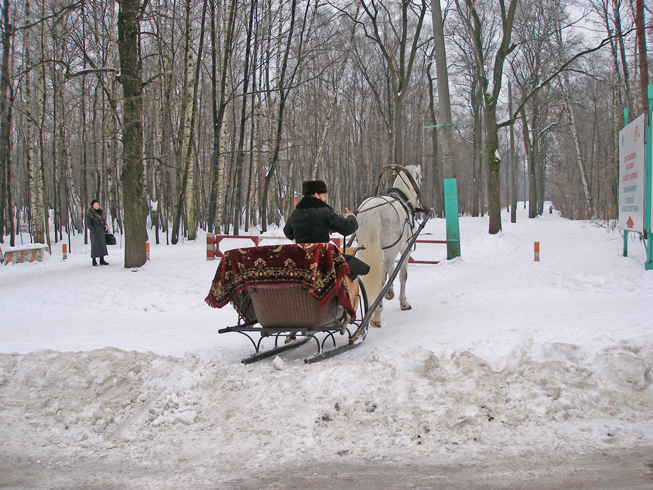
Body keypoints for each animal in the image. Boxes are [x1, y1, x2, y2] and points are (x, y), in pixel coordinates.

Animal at [354, 166, 420, 330]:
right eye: (419, 177)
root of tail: (374, 210)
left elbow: (392, 270)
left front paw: (390, 293)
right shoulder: (405, 249)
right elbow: (402, 275)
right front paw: (404, 303)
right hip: (391, 248)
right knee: (382, 276)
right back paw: (376, 314)